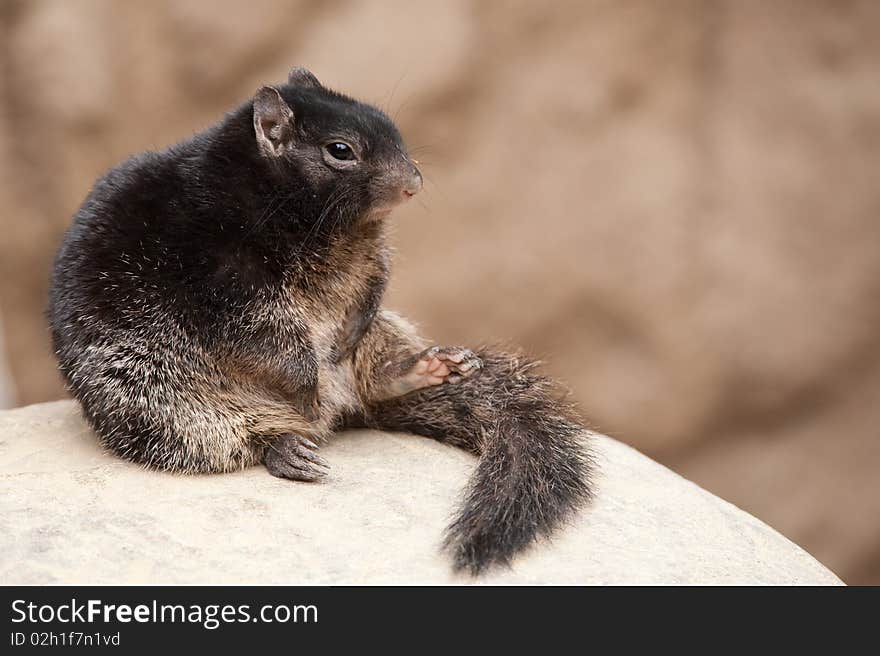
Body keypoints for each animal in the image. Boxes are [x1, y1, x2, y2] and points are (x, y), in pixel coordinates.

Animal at [49, 69, 600, 576]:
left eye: (394, 131)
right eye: (341, 150)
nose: (414, 183)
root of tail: (340, 413)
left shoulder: (370, 255)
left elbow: (375, 281)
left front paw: (349, 342)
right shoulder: (221, 274)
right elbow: (263, 332)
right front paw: (307, 382)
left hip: (387, 330)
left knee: (373, 376)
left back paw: (426, 366)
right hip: (149, 394)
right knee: (226, 438)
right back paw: (290, 442)